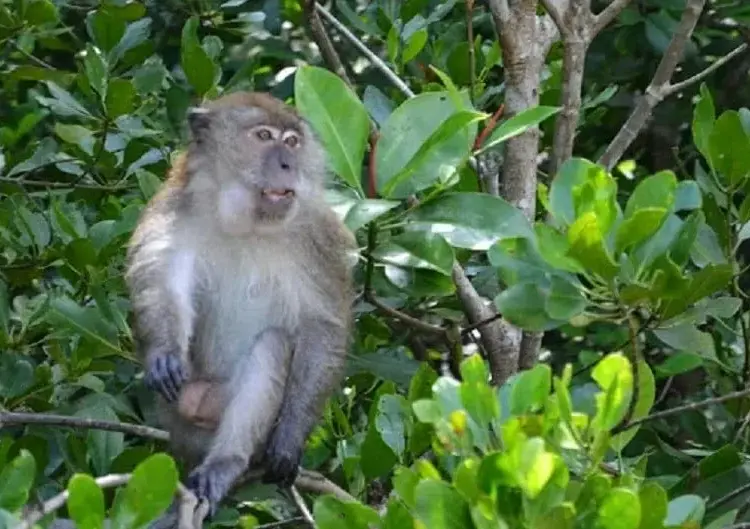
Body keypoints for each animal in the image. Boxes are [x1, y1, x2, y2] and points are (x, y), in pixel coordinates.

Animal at [124, 89, 358, 516]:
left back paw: (225, 464)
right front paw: (164, 353)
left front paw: (290, 439)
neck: (245, 224)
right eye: (263, 136)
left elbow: (323, 326)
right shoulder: (174, 210)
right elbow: (162, 279)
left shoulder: (318, 235)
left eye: (292, 142)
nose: (287, 164)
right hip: (181, 415)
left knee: (272, 345)